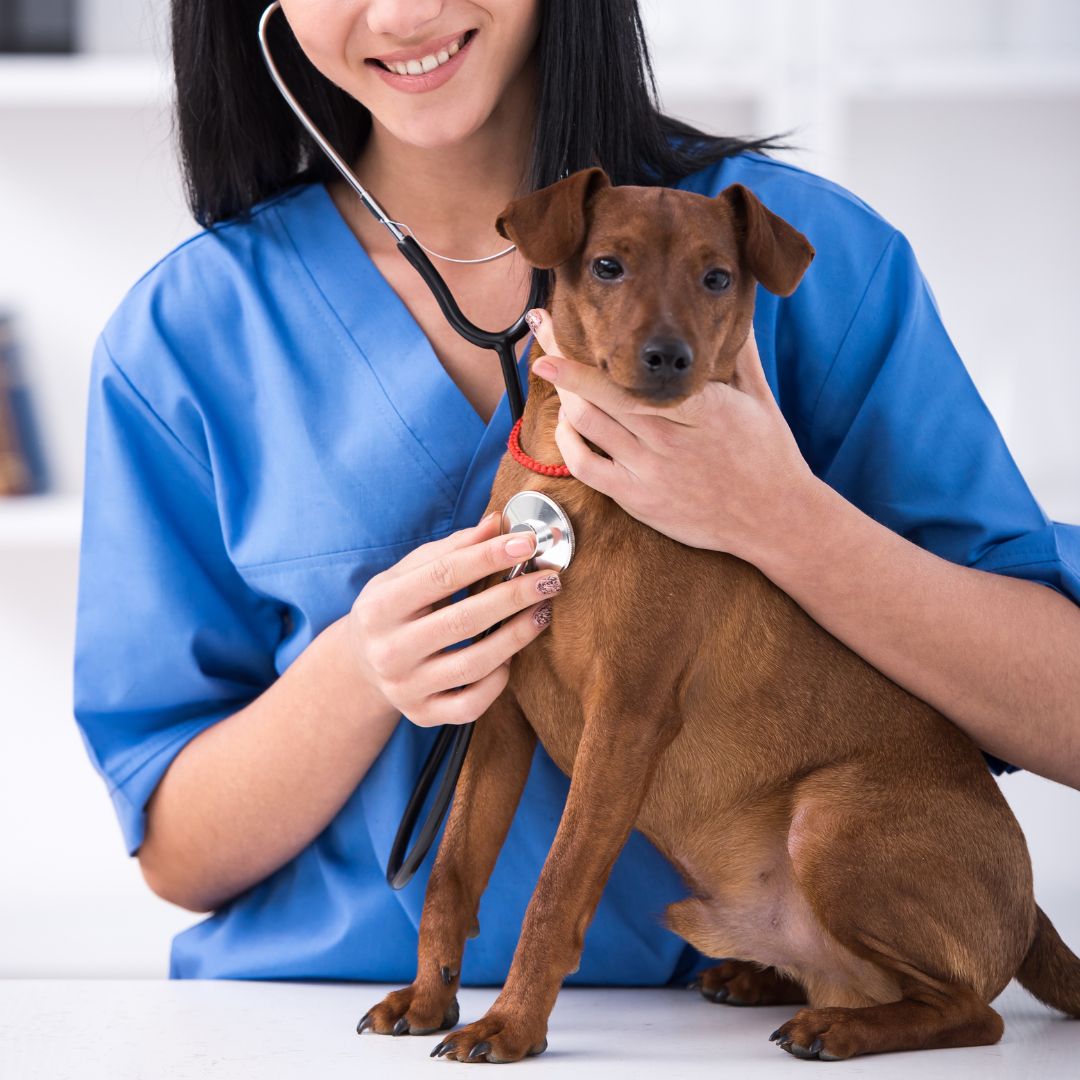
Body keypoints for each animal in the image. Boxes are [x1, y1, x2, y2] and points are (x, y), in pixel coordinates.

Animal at [356, 168, 1080, 1062]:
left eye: (717, 278)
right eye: (607, 265)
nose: (670, 357)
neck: (573, 480)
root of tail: (1032, 913)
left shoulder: (625, 719)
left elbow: (555, 890)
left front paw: (511, 1024)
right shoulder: (500, 722)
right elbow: (453, 874)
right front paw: (430, 997)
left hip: (830, 819)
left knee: (973, 1011)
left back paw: (838, 1028)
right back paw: (761, 980)